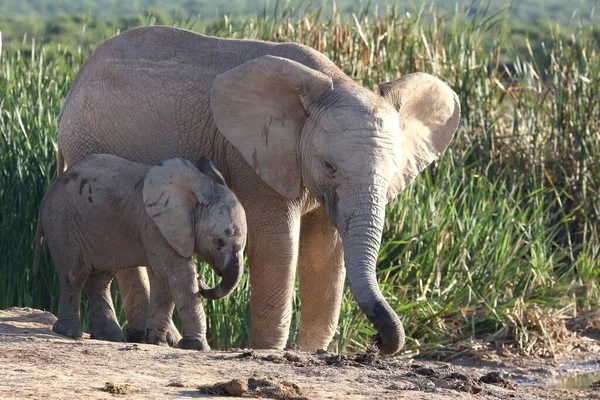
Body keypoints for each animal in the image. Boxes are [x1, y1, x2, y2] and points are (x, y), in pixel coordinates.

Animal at [32, 153, 248, 350]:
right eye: (219, 242)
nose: (203, 279)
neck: (196, 191)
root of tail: (48, 193)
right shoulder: (155, 226)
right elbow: (178, 276)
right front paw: (196, 346)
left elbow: (163, 281)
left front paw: (156, 342)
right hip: (62, 221)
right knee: (75, 275)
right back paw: (70, 333)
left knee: (101, 278)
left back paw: (111, 337)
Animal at [57, 26, 460, 354]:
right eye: (329, 165)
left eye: (392, 174)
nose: (377, 342)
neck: (332, 82)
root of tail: (77, 79)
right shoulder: (251, 158)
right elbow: (278, 245)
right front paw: (269, 351)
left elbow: (325, 252)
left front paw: (308, 353)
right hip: (87, 141)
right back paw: (146, 337)